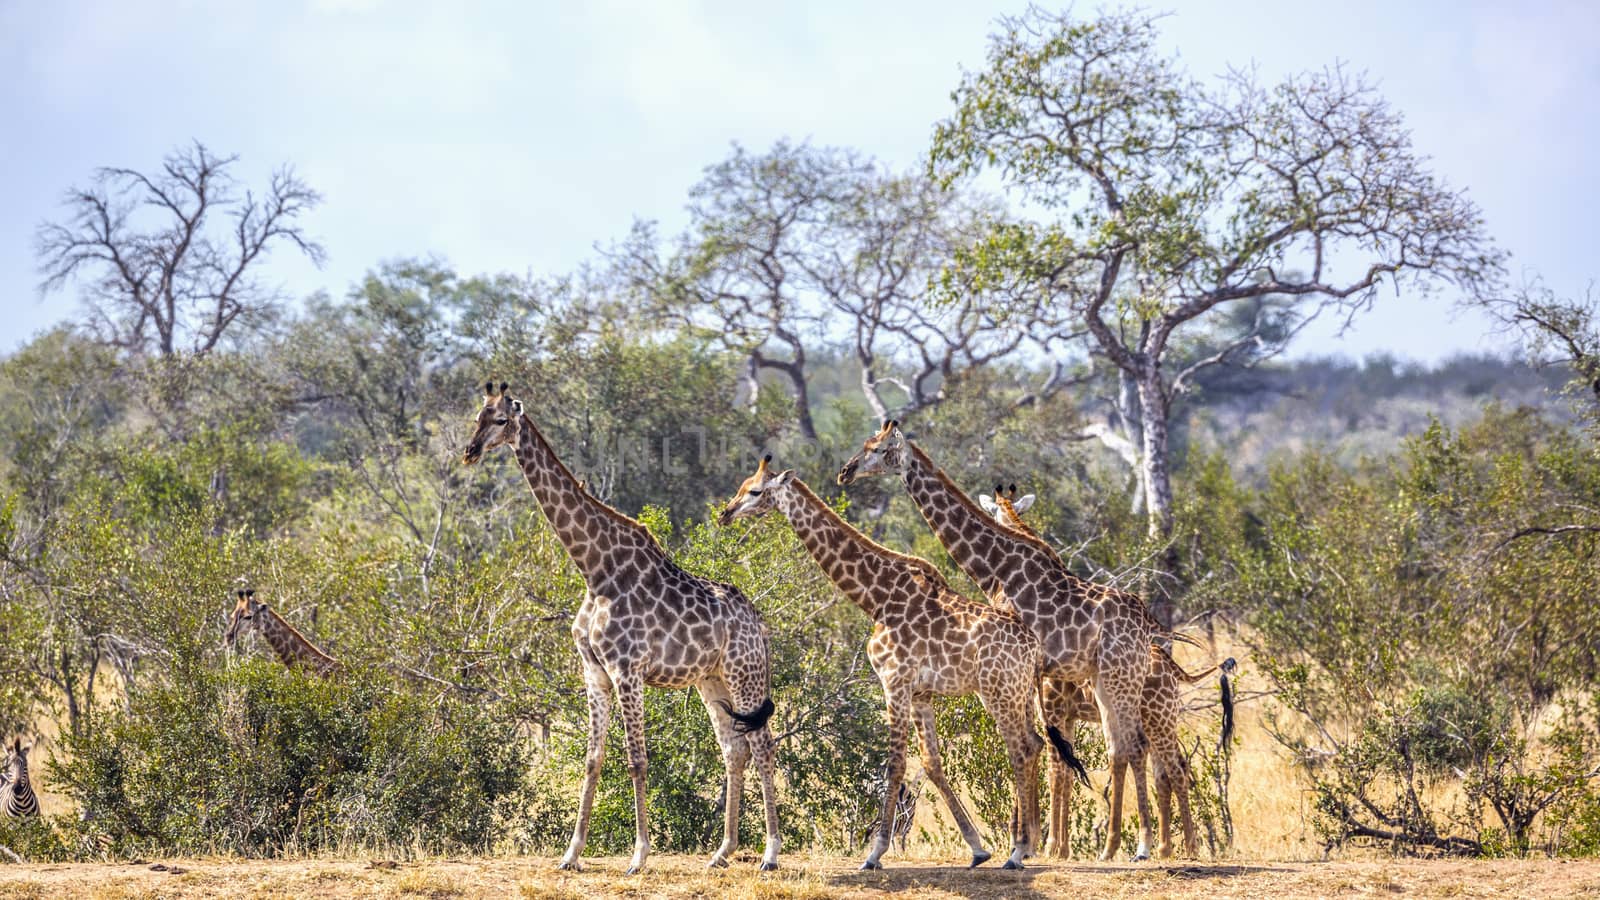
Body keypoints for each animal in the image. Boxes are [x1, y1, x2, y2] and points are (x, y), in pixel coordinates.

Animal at [464, 381, 780, 871]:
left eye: (500, 420)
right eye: (476, 417)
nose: (470, 451)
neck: (595, 570)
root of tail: (756, 620)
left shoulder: (626, 670)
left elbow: (636, 759)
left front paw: (639, 855)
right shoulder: (593, 671)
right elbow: (592, 758)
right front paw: (571, 853)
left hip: (744, 674)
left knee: (763, 746)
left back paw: (770, 852)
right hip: (710, 680)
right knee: (734, 747)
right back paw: (722, 851)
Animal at [723, 454, 1049, 871]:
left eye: (755, 491)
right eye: (741, 485)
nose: (726, 513)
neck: (876, 598)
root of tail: (1033, 645)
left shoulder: (894, 681)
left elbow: (895, 763)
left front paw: (874, 853)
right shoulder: (922, 692)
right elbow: (931, 763)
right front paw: (977, 847)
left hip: (997, 693)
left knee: (1021, 749)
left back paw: (1018, 851)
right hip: (1019, 692)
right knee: (1036, 744)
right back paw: (1024, 844)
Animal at [844, 422, 1158, 858]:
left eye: (878, 448)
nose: (847, 471)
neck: (995, 569)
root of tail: (1147, 621)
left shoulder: (1026, 668)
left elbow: (1029, 748)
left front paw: (1023, 841)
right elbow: (1039, 749)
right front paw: (1028, 839)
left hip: (1119, 676)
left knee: (1135, 744)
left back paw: (1139, 845)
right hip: (1104, 679)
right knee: (1122, 745)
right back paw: (1114, 846)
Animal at [972, 483, 1235, 851]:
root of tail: (1174, 668)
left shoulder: (1053, 708)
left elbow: (1056, 769)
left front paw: (1050, 845)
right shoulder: (1065, 715)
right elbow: (1066, 771)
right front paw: (1058, 846)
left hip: (1157, 718)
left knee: (1174, 767)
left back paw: (1184, 846)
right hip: (1159, 718)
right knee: (1166, 770)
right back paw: (1169, 845)